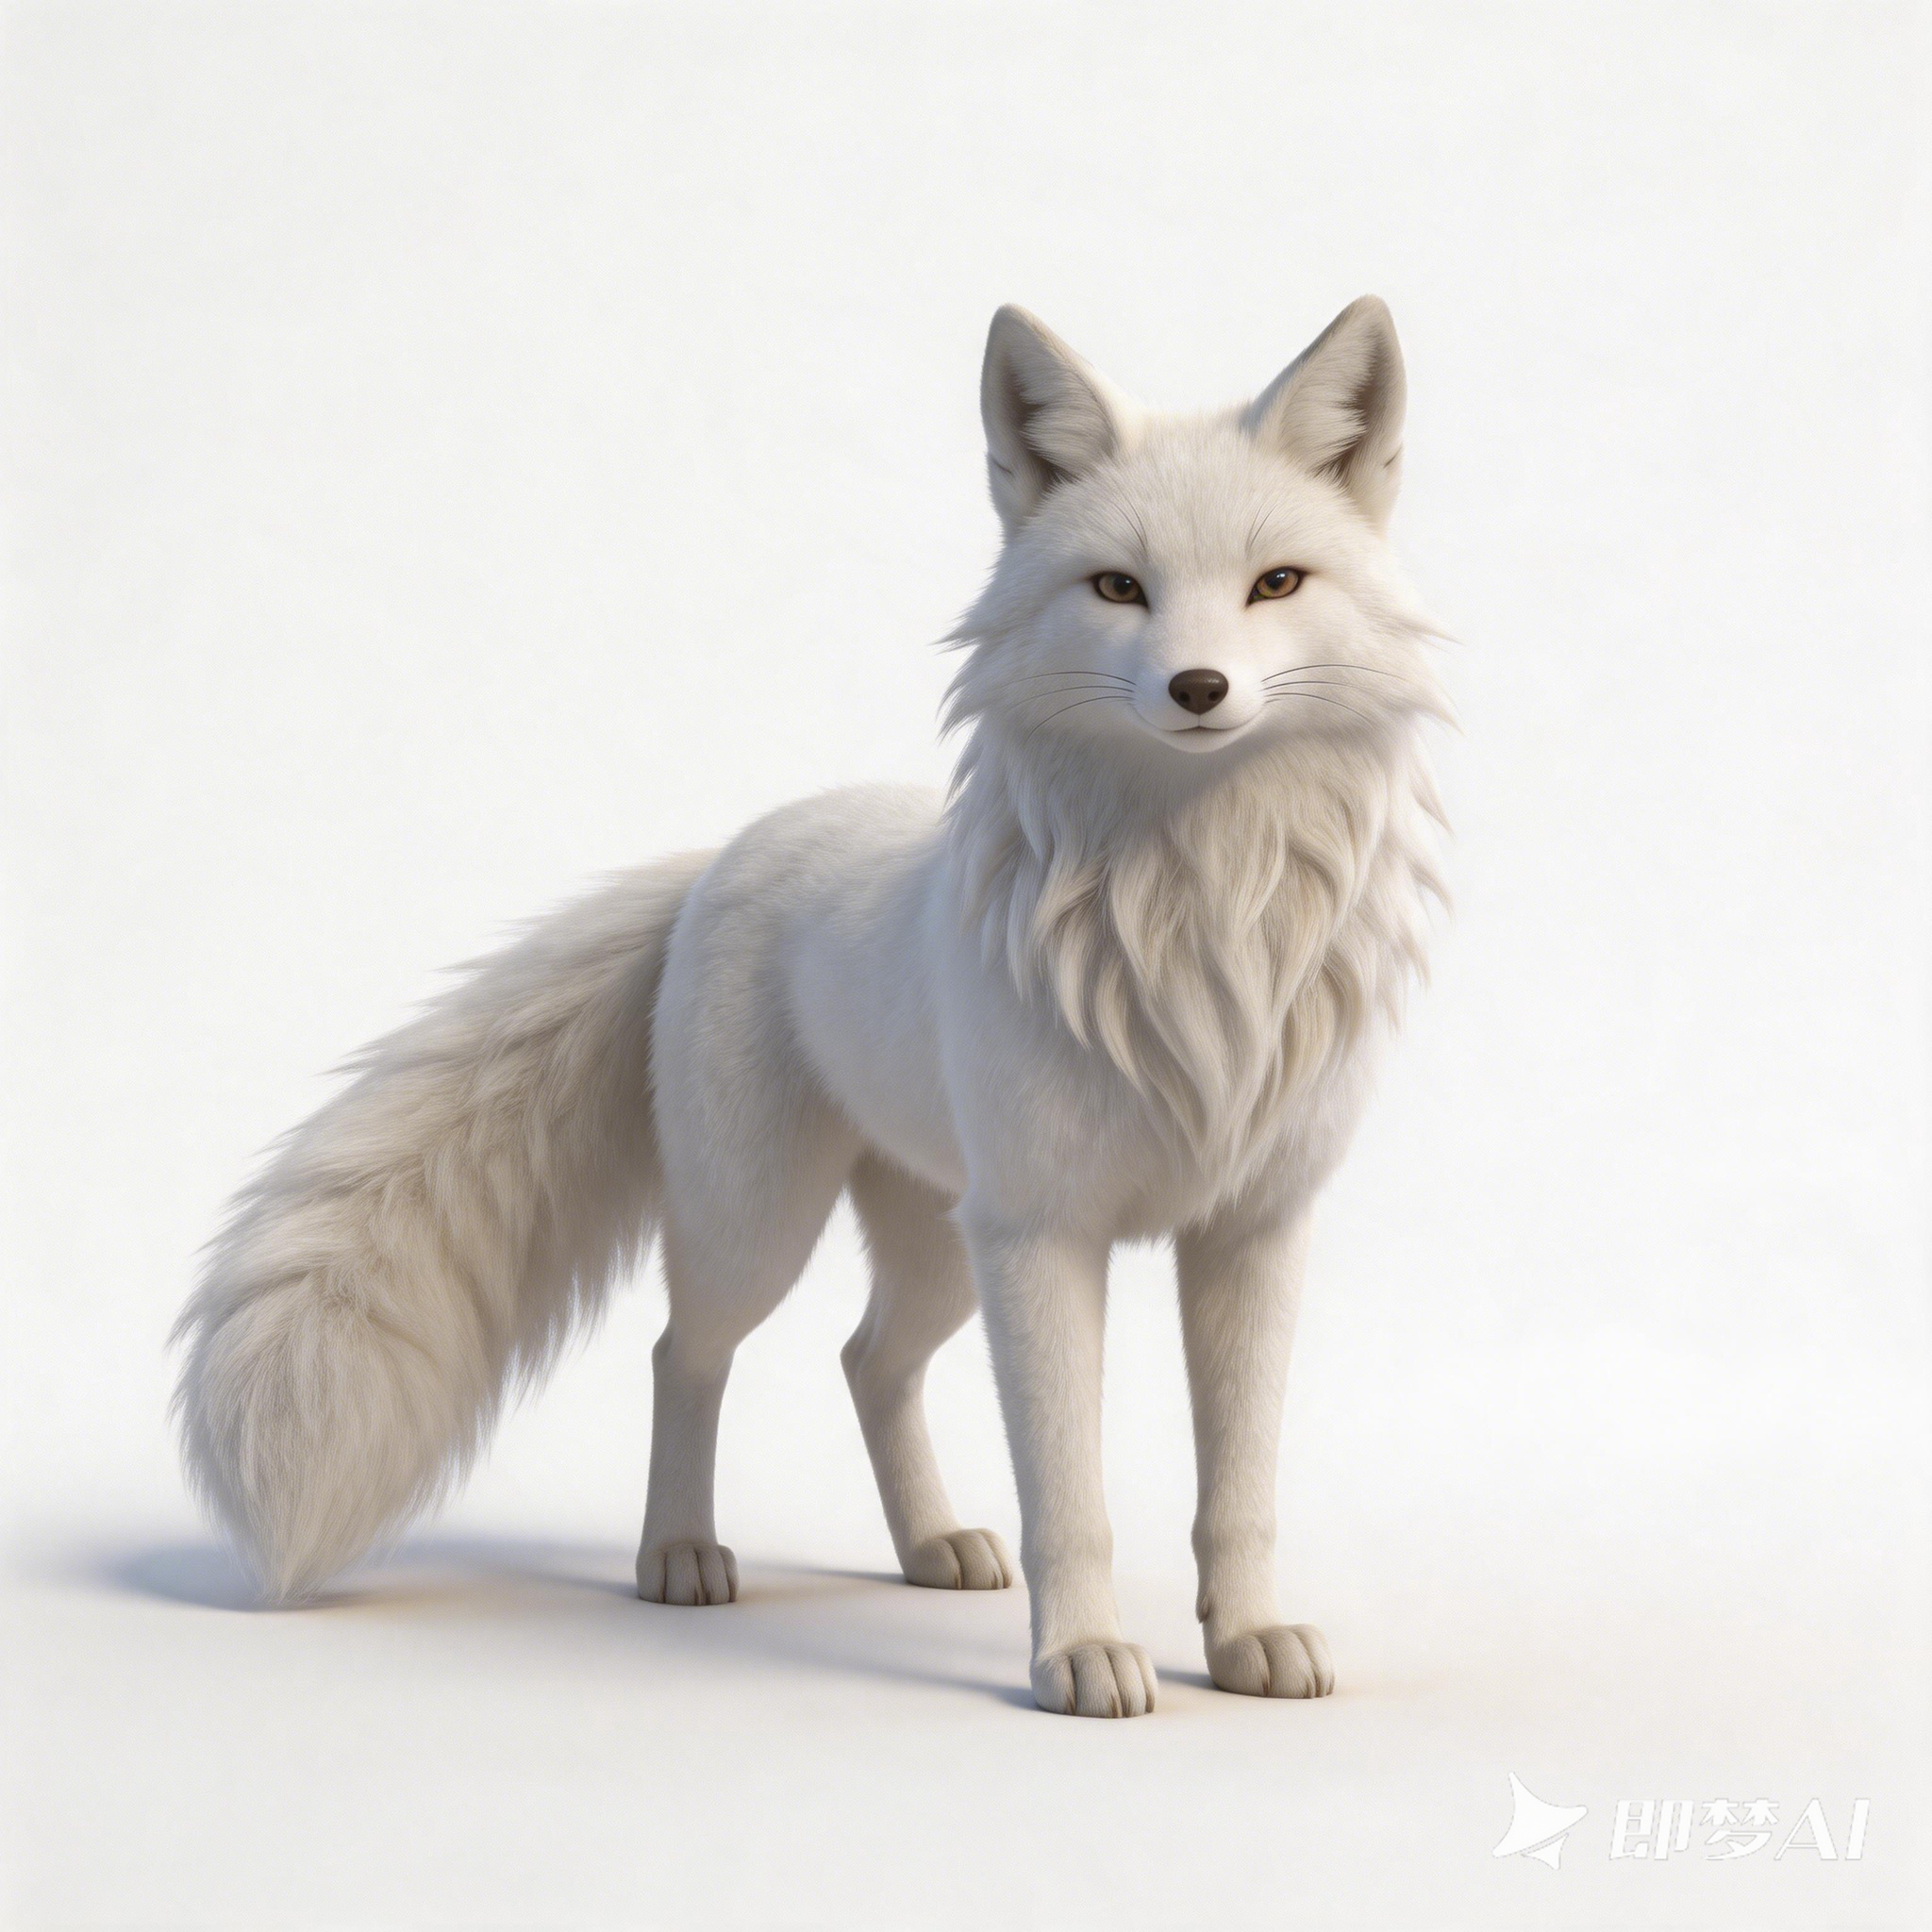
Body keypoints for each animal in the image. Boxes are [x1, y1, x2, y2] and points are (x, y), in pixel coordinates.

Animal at [174, 298, 1448, 1717]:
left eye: (1276, 584)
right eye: (1118, 588)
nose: (1198, 690)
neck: (1200, 918)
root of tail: (726, 854)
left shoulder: (1250, 1229)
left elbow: (1240, 1486)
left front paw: (1247, 1639)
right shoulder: (1044, 1233)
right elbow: (1071, 1493)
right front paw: (1080, 1657)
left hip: (941, 1247)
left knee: (866, 1359)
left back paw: (930, 1544)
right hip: (767, 1227)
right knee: (684, 1350)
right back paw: (678, 1553)